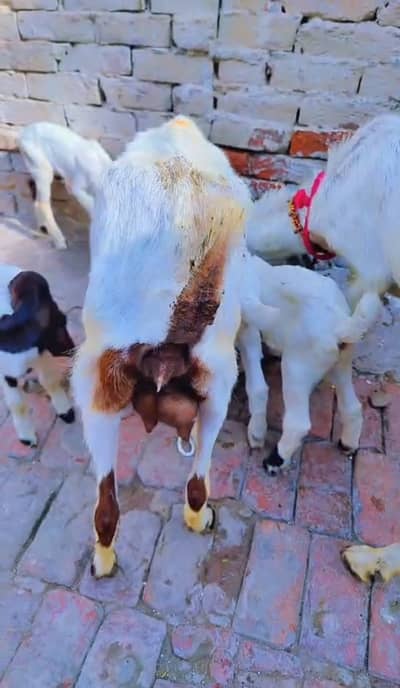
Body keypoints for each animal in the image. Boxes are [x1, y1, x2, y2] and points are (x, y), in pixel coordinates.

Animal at [0, 265, 75, 447]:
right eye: (62, 321)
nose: (72, 349)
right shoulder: (5, 371)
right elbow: (16, 403)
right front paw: (27, 437)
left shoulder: (41, 353)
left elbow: (50, 381)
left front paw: (66, 412)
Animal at [71, 115, 252, 578]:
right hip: (215, 381)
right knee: (196, 474)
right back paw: (195, 517)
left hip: (97, 384)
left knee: (107, 500)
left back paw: (105, 558)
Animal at [240, 253, 381, 474]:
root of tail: (340, 325)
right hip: (341, 366)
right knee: (352, 407)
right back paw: (347, 444)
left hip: (295, 369)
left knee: (297, 423)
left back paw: (275, 461)